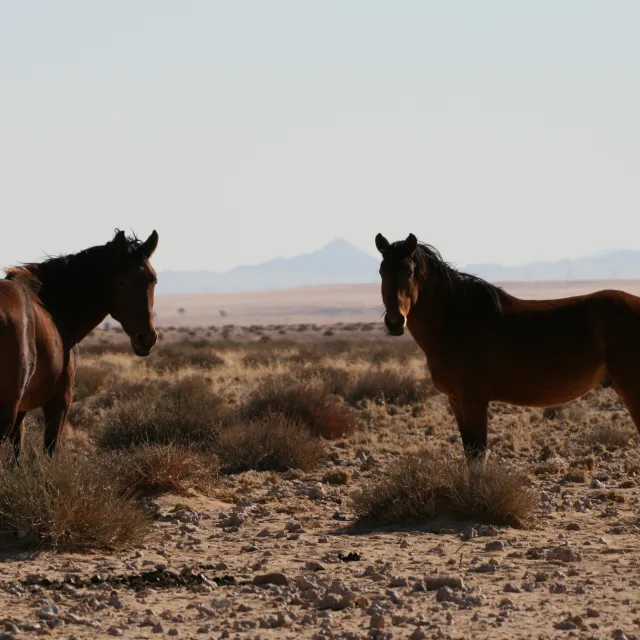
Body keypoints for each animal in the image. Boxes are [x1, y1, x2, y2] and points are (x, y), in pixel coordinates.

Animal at [0, 231, 159, 460]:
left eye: (153, 280)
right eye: (122, 282)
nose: (146, 338)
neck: (53, 307)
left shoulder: (23, 410)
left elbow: (16, 456)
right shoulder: (59, 402)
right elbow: (49, 452)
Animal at [376, 232, 640, 462]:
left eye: (410, 271)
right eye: (381, 271)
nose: (395, 322)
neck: (457, 319)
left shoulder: (474, 399)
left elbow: (477, 455)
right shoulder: (456, 400)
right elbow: (470, 452)